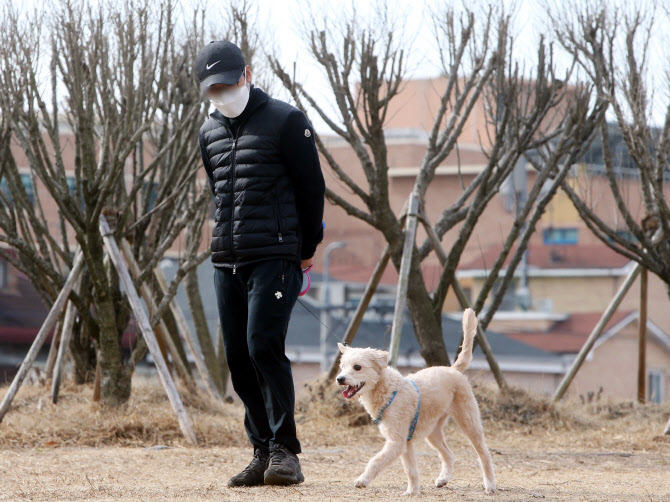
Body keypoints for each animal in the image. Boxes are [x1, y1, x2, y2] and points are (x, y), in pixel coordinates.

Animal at [338, 308, 496, 496]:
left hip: (470, 423)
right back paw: (443, 479)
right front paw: (412, 491)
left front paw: (362, 480)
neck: (388, 390)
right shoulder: (407, 444)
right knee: (448, 454)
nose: (339, 379)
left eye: (357, 367)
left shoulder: (397, 442)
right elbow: (411, 470)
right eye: (342, 366)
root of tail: (453, 370)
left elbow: (376, 461)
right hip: (433, 432)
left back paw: (489, 485)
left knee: (484, 454)